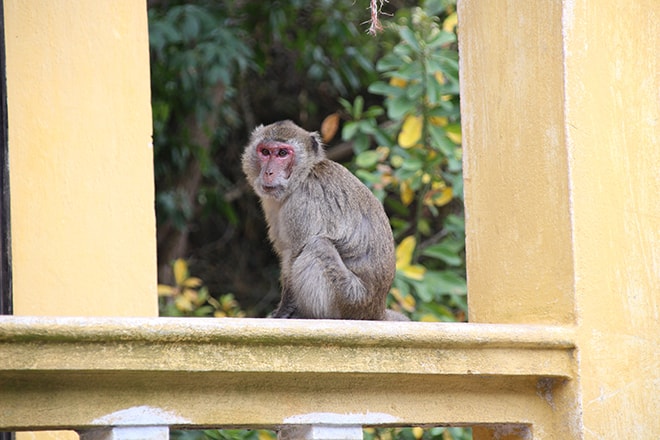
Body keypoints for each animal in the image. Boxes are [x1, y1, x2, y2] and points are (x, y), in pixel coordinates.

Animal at [242, 119, 408, 320]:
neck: (303, 175)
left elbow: (295, 253)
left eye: (282, 153)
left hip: (350, 299)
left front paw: (283, 311)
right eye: (265, 152)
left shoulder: (302, 204)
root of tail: (377, 310)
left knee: (318, 246)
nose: (268, 172)